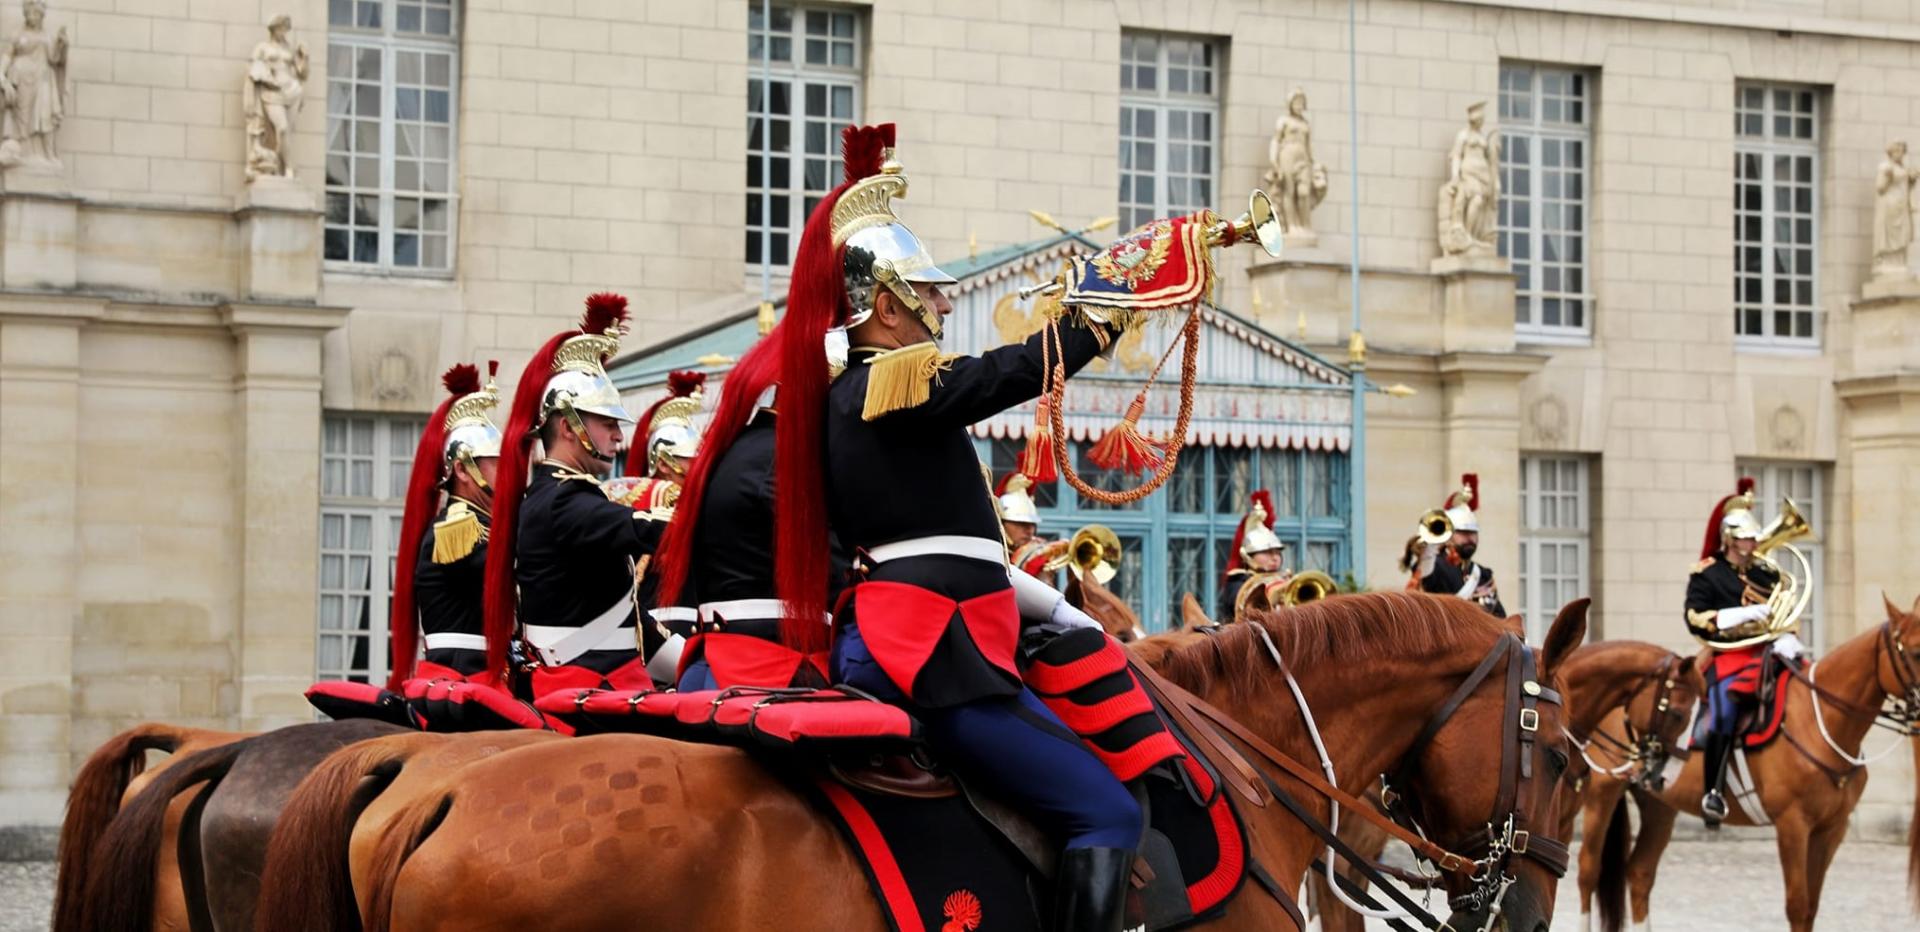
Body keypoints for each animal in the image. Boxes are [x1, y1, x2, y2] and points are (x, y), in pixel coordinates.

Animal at [1582, 595, 1920, 930]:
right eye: (1916, 652)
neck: (1819, 722)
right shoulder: (1792, 824)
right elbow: (1798, 906)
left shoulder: (1831, 829)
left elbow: (1811, 907)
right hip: (1602, 793)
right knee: (1589, 870)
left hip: (1659, 802)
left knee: (1640, 872)